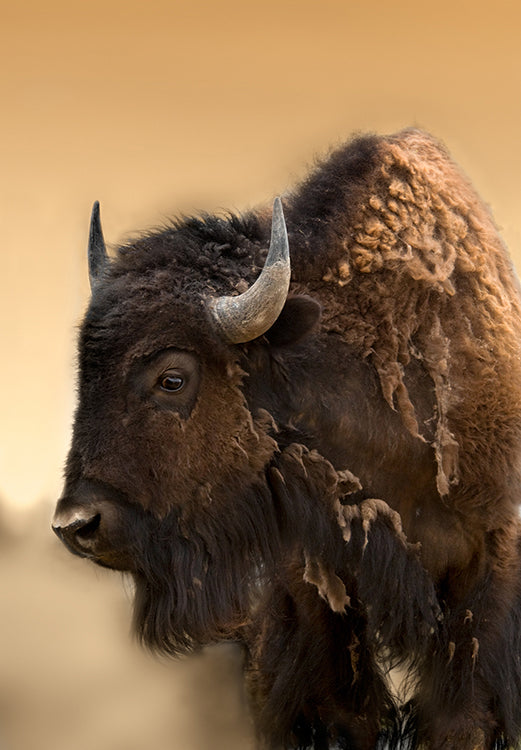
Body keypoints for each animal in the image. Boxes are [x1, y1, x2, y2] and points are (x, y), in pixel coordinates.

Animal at [53, 129, 521, 749]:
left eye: (172, 378)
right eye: (85, 373)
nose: (75, 525)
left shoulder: (488, 565)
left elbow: (460, 716)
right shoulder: (310, 590)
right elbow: (343, 711)